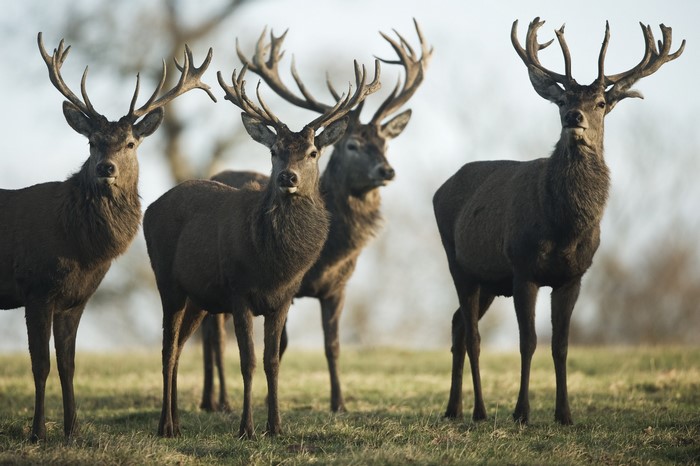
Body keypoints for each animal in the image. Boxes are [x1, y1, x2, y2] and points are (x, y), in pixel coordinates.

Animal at [0, 33, 215, 442]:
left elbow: (68, 365)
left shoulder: (76, 299)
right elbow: (41, 366)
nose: (106, 168)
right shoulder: (36, 288)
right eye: (92, 142)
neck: (81, 248)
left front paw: (72, 431)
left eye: (131, 143)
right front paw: (37, 433)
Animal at [142, 42, 380, 438]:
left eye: (313, 152)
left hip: (198, 297)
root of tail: (149, 208)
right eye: (274, 151)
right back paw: (166, 426)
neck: (275, 264)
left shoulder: (283, 298)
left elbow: (272, 361)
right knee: (168, 348)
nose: (288, 178)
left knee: (179, 346)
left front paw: (277, 427)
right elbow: (248, 361)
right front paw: (246, 429)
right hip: (167, 282)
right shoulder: (238, 291)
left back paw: (176, 420)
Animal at [198, 20, 431, 414]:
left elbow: (332, 346)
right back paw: (218, 401)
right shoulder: (285, 288)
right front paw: (267, 402)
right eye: (352, 145)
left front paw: (339, 403)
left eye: (385, 143)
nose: (386, 170)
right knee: (212, 335)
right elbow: (280, 346)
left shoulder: (338, 287)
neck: (331, 254)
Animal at [433, 18, 684, 426]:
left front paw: (564, 413)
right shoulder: (523, 269)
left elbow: (562, 345)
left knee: (457, 325)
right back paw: (479, 411)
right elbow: (528, 342)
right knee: (472, 335)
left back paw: (453, 408)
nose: (574, 118)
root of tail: (440, 189)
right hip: (459, 263)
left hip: (489, 280)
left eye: (601, 102)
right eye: (563, 100)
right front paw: (521, 412)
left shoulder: (573, 276)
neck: (564, 228)